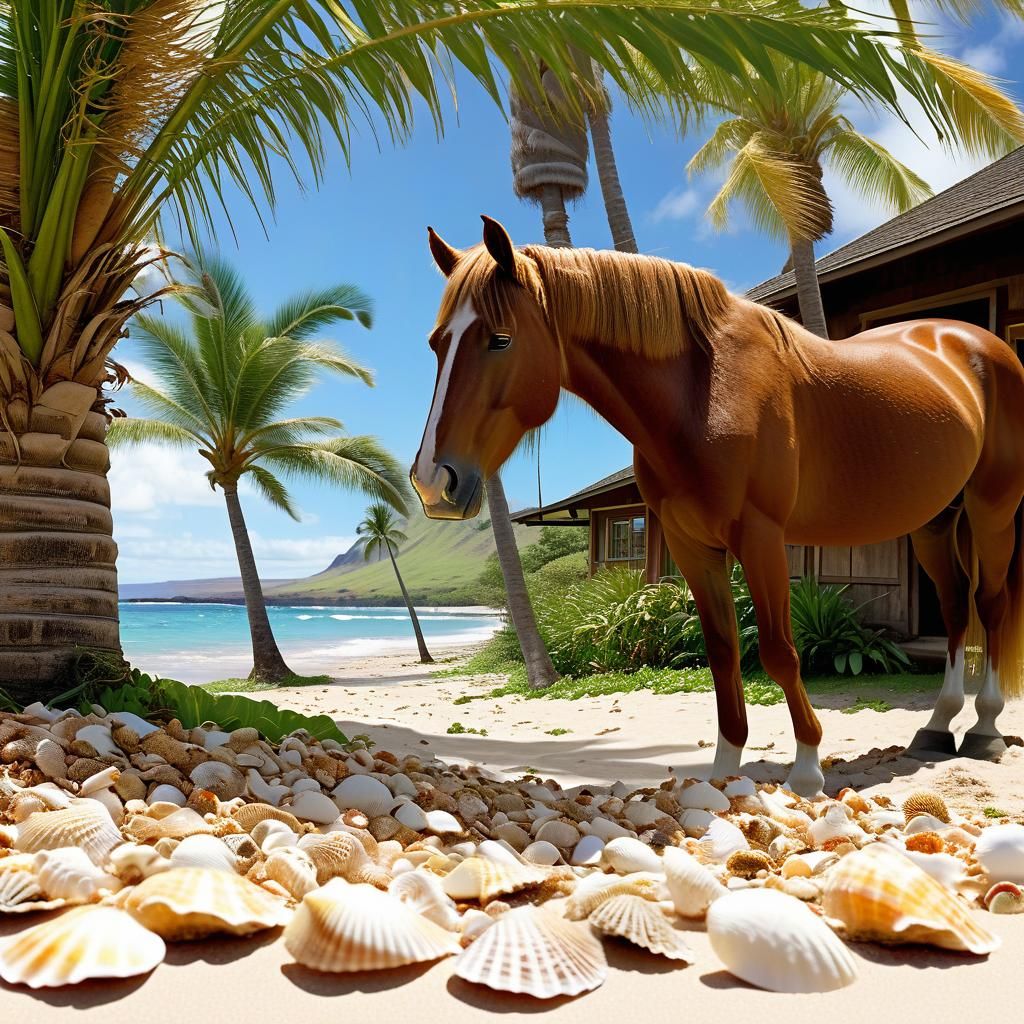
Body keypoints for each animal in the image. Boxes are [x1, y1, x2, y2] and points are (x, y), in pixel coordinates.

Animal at [410, 215, 1024, 796]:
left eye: (500, 339)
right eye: (437, 343)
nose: (433, 482)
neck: (704, 391)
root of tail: (978, 343)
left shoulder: (761, 537)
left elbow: (777, 651)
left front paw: (807, 770)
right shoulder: (692, 545)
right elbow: (724, 652)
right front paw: (724, 771)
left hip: (992, 509)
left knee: (989, 606)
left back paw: (985, 729)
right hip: (935, 521)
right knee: (954, 610)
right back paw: (938, 727)